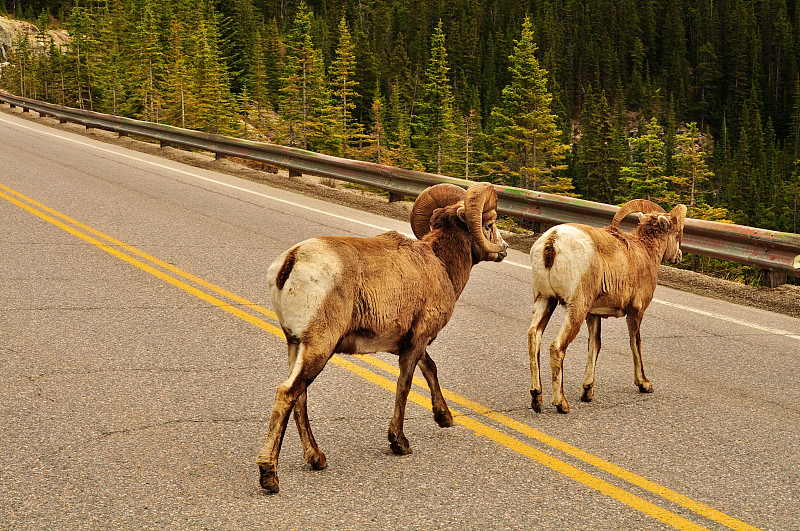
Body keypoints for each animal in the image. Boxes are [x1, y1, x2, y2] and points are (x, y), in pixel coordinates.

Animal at [256, 184, 506, 494]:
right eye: (490, 224)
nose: (504, 249)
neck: (440, 264)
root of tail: (291, 261)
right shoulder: (416, 340)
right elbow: (405, 385)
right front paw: (400, 443)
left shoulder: (411, 343)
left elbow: (431, 369)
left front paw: (444, 418)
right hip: (319, 347)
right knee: (287, 393)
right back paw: (270, 476)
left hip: (295, 344)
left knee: (299, 397)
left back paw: (317, 459)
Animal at [524, 201, 688, 416]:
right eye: (676, 235)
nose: (678, 256)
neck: (645, 253)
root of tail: (552, 242)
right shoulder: (635, 312)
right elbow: (635, 343)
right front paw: (644, 384)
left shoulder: (594, 314)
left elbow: (595, 345)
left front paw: (587, 392)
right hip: (575, 308)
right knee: (557, 347)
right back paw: (562, 404)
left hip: (544, 299)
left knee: (534, 337)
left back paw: (537, 398)